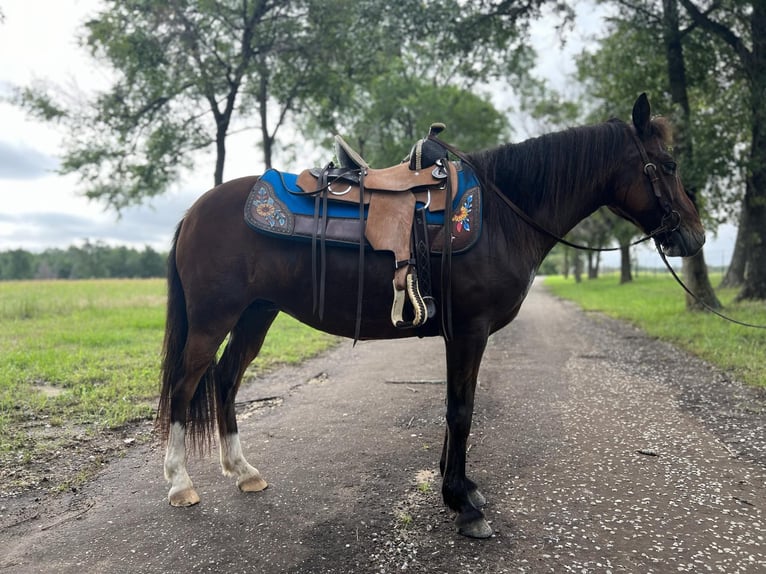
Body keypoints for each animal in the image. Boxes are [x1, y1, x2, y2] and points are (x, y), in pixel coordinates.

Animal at [158, 94, 708, 540]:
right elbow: (461, 410)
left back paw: (243, 471)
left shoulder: (459, 334)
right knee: (186, 387)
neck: (504, 215)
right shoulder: (469, 330)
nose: (694, 236)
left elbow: (455, 406)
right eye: (669, 164)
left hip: (256, 314)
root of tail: (195, 210)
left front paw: (461, 485)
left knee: (226, 380)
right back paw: (181, 484)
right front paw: (462, 504)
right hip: (213, 319)